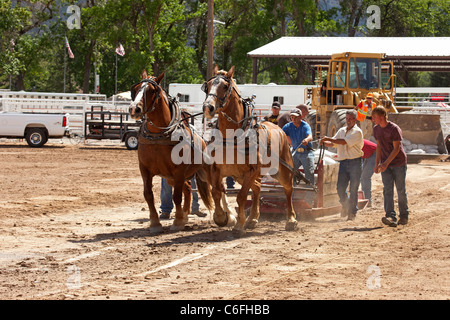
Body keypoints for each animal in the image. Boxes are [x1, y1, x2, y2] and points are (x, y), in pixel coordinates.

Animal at [129, 71, 214, 234]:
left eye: (151, 90)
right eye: (135, 89)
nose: (134, 109)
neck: (158, 136)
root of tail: (203, 141)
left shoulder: (179, 170)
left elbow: (177, 197)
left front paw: (177, 222)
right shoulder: (144, 169)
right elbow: (148, 195)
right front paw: (155, 223)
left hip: (203, 172)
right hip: (170, 178)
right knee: (188, 189)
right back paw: (185, 215)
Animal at [202, 65, 298, 235]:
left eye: (225, 86)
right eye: (207, 85)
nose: (208, 107)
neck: (231, 138)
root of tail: (279, 128)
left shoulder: (251, 171)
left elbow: (241, 197)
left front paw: (239, 224)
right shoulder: (215, 169)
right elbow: (216, 192)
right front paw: (221, 217)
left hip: (282, 169)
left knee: (288, 189)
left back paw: (291, 220)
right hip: (240, 175)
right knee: (258, 188)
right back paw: (252, 219)